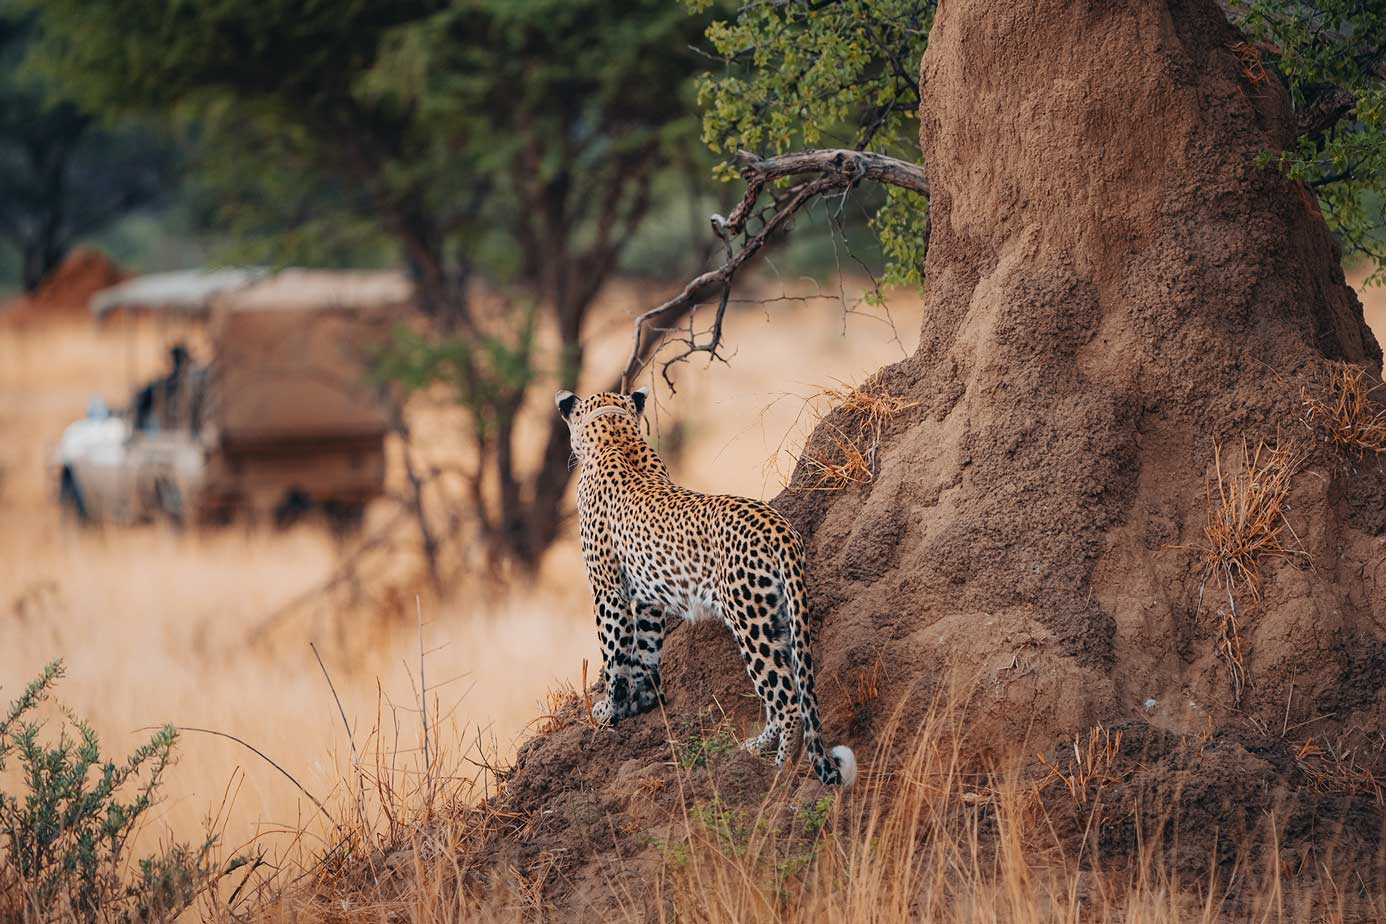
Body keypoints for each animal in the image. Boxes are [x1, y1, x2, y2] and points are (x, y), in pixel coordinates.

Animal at [551, 387, 853, 786]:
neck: (616, 435)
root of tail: (778, 527)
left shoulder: (608, 590)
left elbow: (615, 654)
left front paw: (610, 709)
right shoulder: (648, 598)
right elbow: (646, 649)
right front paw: (644, 700)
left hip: (750, 621)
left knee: (785, 699)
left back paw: (775, 768)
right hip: (777, 617)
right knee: (785, 691)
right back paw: (755, 748)